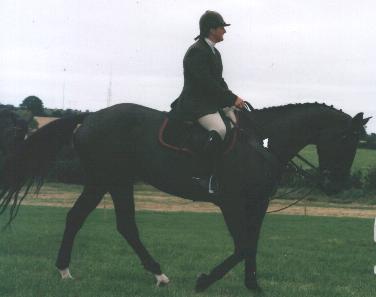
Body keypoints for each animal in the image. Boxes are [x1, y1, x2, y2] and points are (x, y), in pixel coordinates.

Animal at [0, 101, 370, 290]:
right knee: (92, 219)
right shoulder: (231, 202)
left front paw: (253, 286)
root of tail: (89, 117)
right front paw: (205, 280)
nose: (335, 185)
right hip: (107, 179)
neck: (262, 144)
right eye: (346, 139)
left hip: (115, 181)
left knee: (111, 223)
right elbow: (242, 246)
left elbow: (251, 244)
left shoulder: (258, 203)